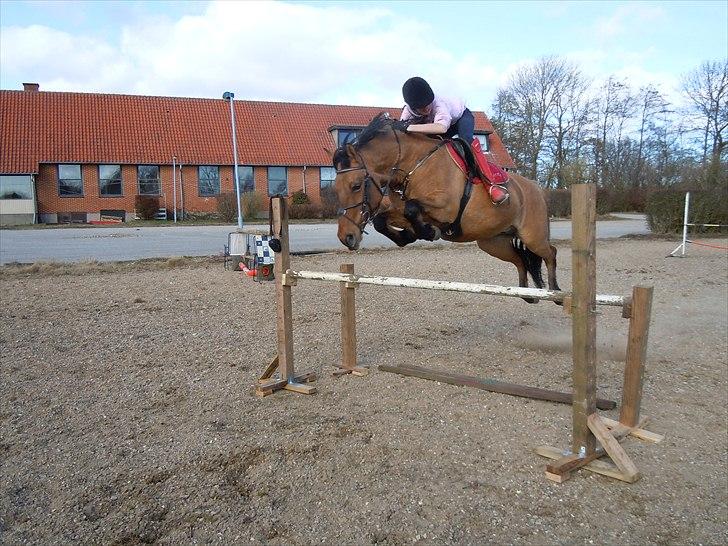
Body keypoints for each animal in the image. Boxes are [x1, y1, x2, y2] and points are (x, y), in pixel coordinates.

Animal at [332, 111, 560, 302]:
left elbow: (412, 208)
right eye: (336, 188)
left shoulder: (446, 209)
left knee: (550, 253)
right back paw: (527, 294)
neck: (414, 164)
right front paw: (409, 235)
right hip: (493, 242)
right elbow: (383, 220)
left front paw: (429, 232)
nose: (346, 237)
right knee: (520, 259)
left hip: (533, 237)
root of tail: (536, 188)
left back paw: (555, 292)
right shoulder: (400, 210)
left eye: (356, 185)